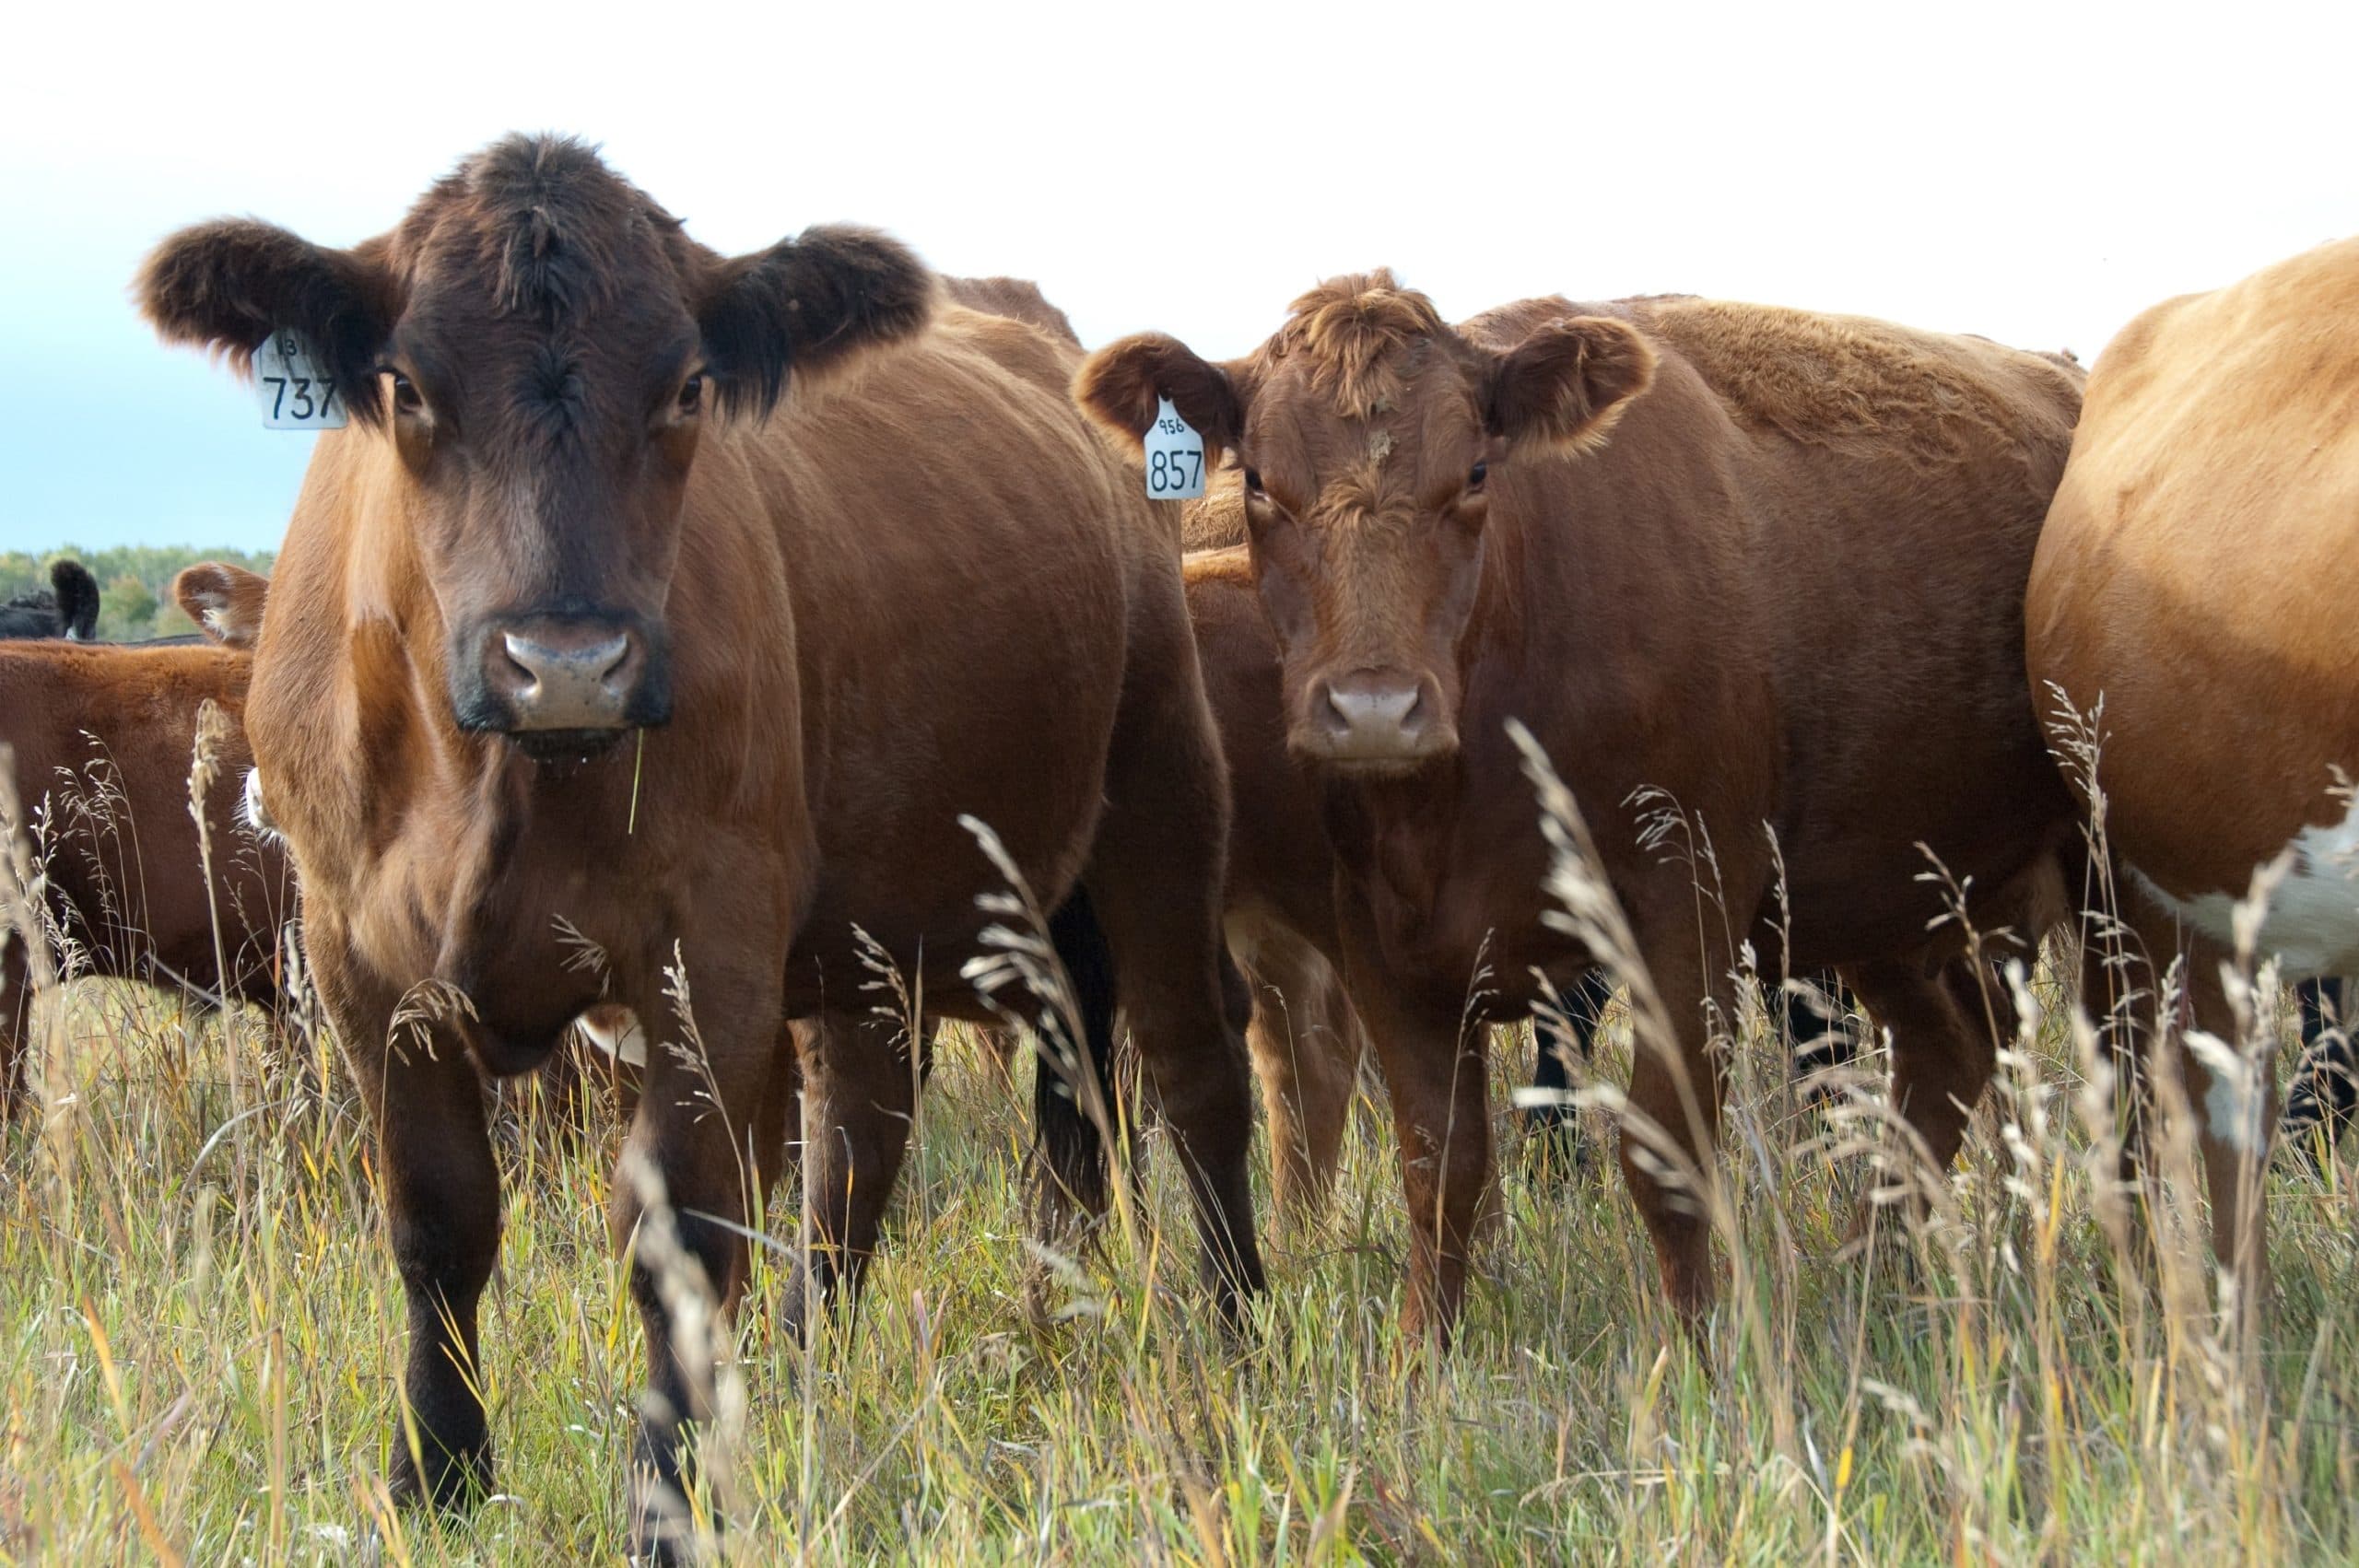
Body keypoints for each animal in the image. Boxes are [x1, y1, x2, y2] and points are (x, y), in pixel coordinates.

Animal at [137, 137, 1264, 1565]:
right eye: (404, 385)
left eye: (685, 387)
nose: (566, 661)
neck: (507, 774)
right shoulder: (362, 964)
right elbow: (439, 1219)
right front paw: (435, 1478)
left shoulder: (707, 957)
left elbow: (675, 1232)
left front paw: (667, 1505)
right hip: (879, 921)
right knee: (872, 1138)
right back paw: (805, 1363)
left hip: (1163, 791)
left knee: (1192, 1066)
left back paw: (1236, 1332)